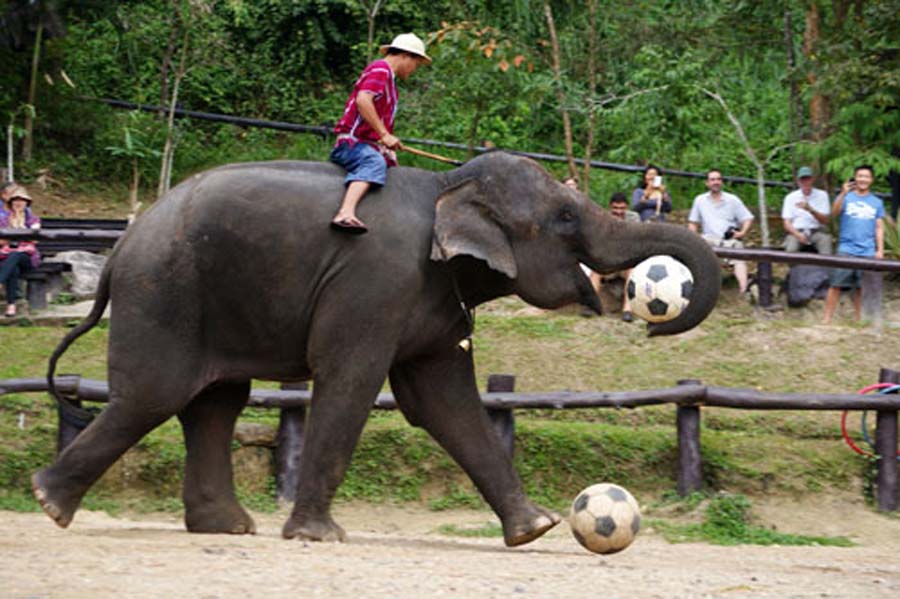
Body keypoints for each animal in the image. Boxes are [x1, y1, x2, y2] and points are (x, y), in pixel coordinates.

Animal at [31, 151, 724, 548]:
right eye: (564, 218)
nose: (648, 319)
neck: (448, 184)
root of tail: (120, 243)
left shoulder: (434, 296)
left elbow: (445, 400)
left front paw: (535, 530)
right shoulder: (376, 282)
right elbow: (352, 381)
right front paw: (319, 538)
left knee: (216, 401)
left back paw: (224, 527)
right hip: (164, 290)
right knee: (155, 394)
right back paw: (47, 501)